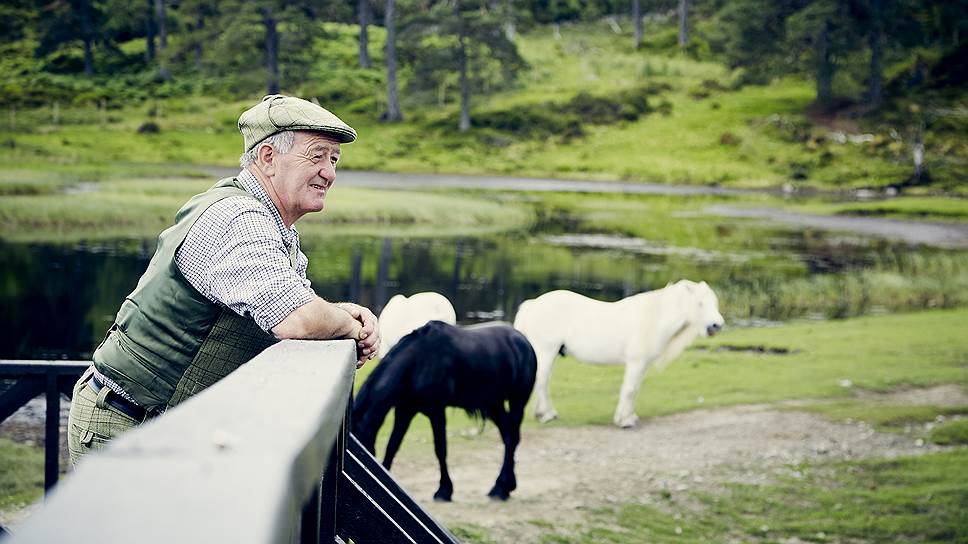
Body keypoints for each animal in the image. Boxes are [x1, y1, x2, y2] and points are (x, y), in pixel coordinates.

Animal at [354, 318, 536, 502]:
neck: (418, 361)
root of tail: (523, 341)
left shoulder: (436, 410)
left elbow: (440, 449)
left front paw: (444, 490)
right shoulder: (405, 410)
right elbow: (393, 446)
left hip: (517, 401)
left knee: (512, 438)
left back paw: (500, 489)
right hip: (494, 404)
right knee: (507, 435)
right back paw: (505, 485)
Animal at [516, 280, 728, 430]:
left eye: (714, 302)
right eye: (700, 304)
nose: (717, 325)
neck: (653, 318)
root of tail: (532, 304)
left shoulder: (642, 365)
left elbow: (635, 390)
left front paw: (630, 416)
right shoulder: (636, 363)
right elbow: (630, 389)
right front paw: (624, 421)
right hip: (546, 351)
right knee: (542, 381)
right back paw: (546, 415)